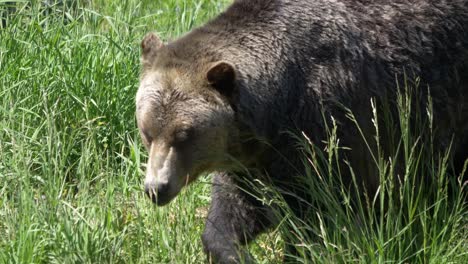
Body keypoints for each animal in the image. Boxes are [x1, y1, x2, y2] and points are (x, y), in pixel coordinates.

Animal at [135, 1, 468, 262]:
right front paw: (234, 251)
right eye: (147, 132)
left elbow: (318, 217)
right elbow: (234, 210)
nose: (156, 188)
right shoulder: (252, 156)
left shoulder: (328, 128)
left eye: (184, 135)